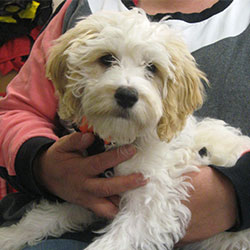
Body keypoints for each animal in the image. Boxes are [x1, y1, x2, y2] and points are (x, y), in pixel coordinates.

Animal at [0, 8, 250, 250]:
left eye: (152, 68)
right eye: (107, 58)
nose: (127, 95)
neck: (124, 139)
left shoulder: (150, 208)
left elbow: (112, 242)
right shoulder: (87, 194)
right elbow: (45, 217)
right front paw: (10, 235)